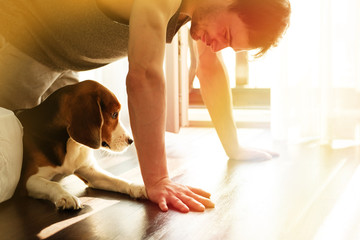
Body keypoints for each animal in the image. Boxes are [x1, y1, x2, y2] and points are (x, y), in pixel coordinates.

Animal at [15, 80, 148, 210]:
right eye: (114, 114)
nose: (131, 140)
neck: (70, 144)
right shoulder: (27, 180)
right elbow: (53, 184)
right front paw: (66, 197)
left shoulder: (91, 173)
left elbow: (117, 179)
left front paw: (138, 187)